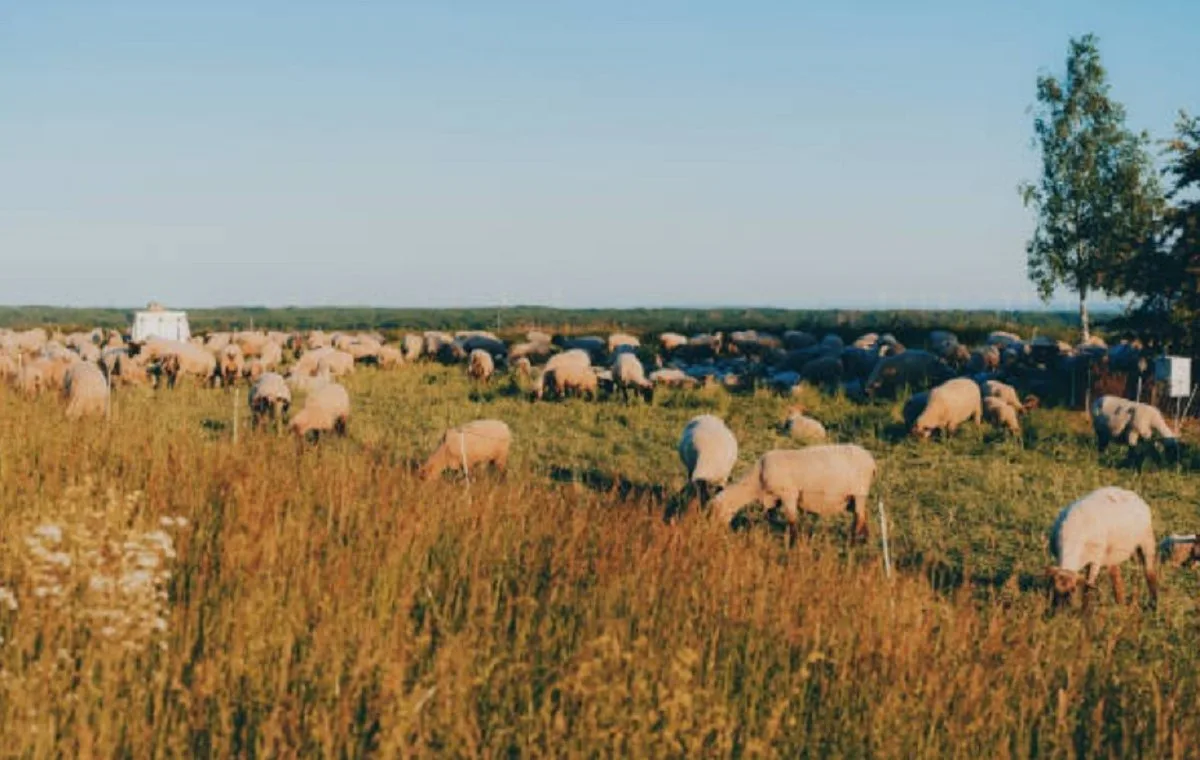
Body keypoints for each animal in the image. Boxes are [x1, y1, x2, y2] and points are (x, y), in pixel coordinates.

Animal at [711, 445, 876, 543]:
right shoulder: (774, 499)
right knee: (862, 515)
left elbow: (791, 519)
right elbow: (771, 517)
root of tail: (871, 461)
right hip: (855, 497)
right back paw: (864, 539)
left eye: (716, 511)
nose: (714, 532)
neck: (756, 481)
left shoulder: (788, 494)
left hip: (859, 493)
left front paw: (793, 541)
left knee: (860, 517)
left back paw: (853, 541)